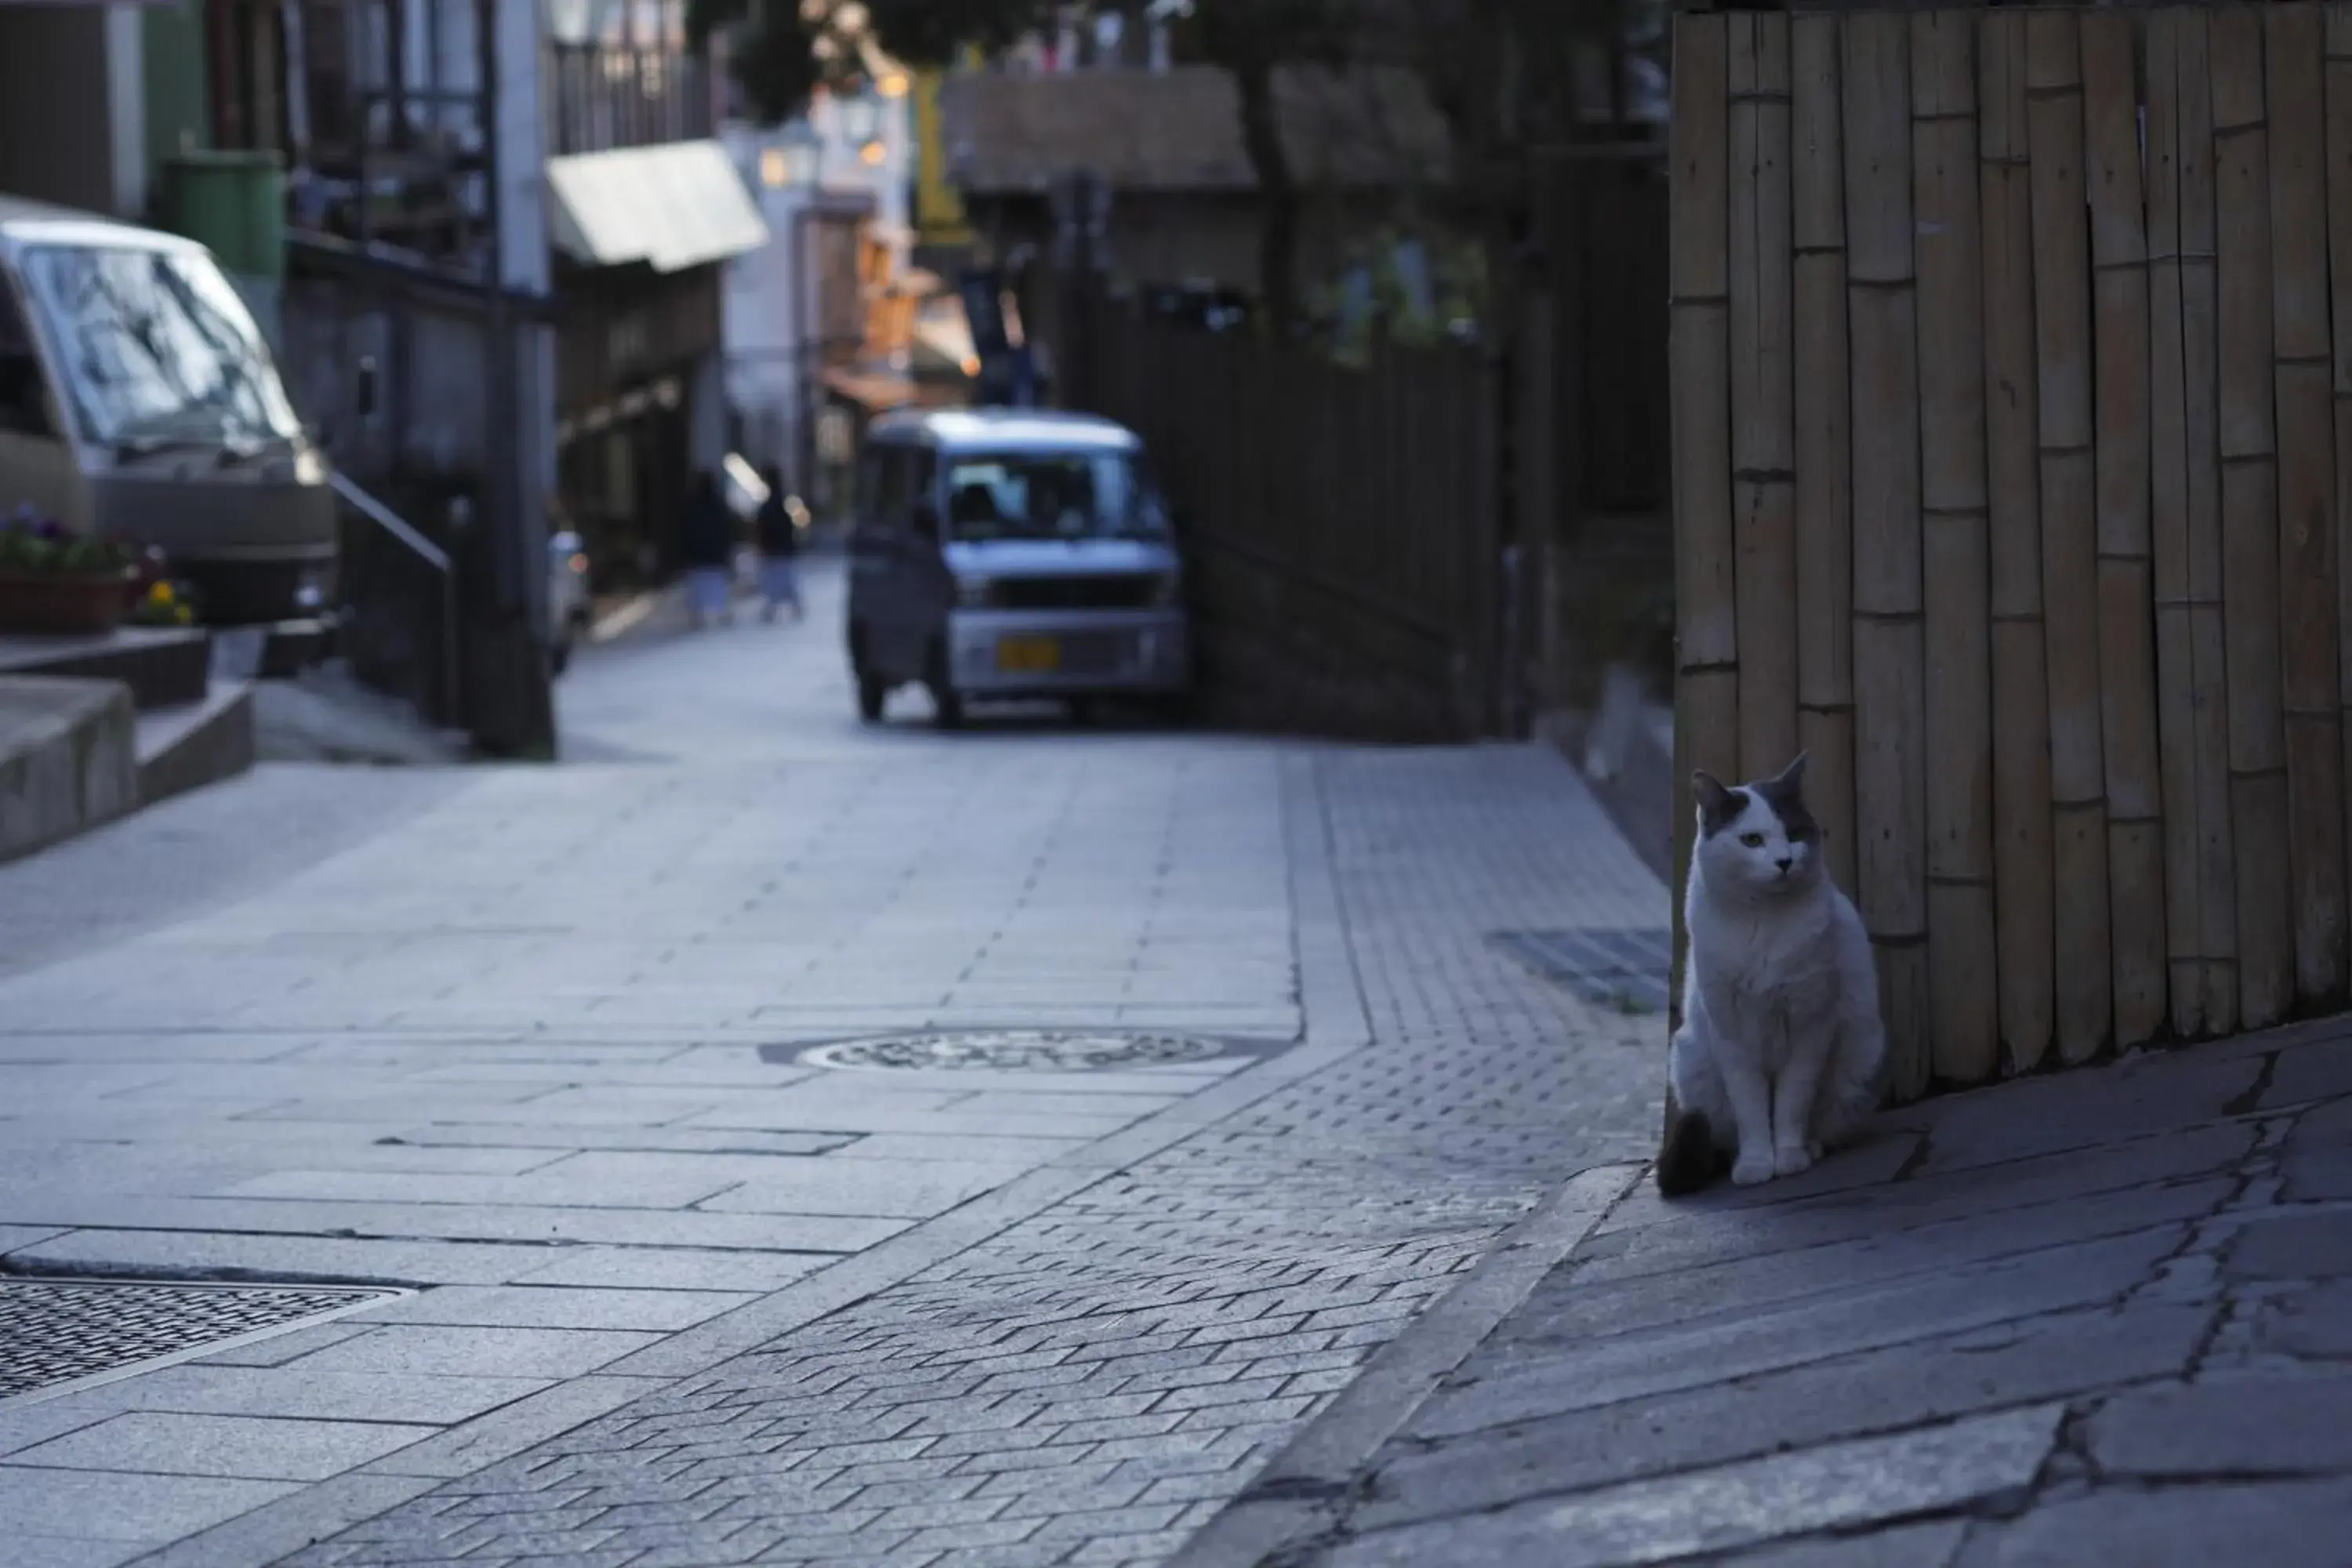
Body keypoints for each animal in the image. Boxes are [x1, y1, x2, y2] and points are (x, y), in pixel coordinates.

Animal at [1656, 752, 1891, 1194]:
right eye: (1752, 841)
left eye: (1795, 832)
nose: (1785, 861)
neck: (1762, 923)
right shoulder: (1731, 1034)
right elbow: (1750, 1109)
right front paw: (1755, 1165)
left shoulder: (1810, 1024)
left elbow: (1791, 1103)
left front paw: (1789, 1157)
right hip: (1692, 1062)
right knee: (1725, 1133)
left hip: (1859, 1056)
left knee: (1823, 1122)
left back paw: (1811, 1148)